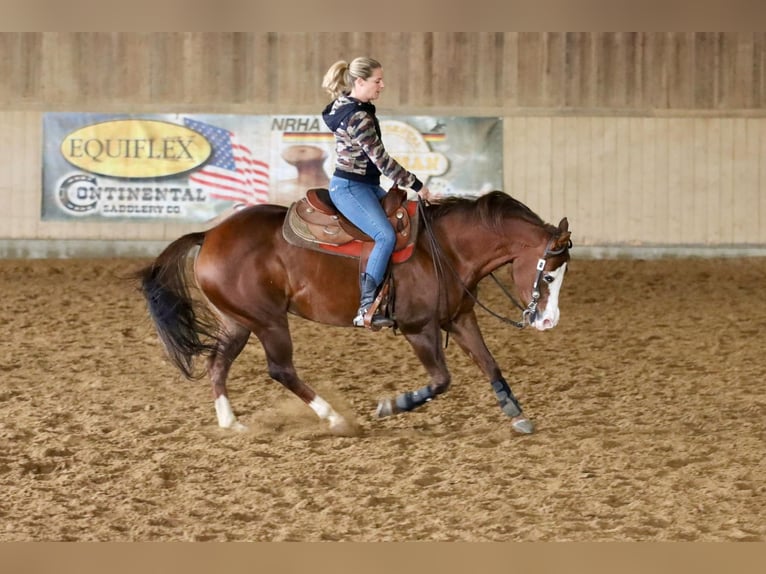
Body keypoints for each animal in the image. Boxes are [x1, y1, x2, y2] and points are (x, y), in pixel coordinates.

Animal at [135, 189, 572, 436]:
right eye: (549, 274)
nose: (549, 321)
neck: (445, 248)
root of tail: (209, 234)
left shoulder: (460, 318)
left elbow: (490, 364)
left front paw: (516, 414)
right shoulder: (419, 328)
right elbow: (441, 380)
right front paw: (391, 406)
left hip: (237, 321)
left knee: (218, 365)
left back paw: (231, 423)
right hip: (268, 320)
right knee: (280, 369)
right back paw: (334, 419)